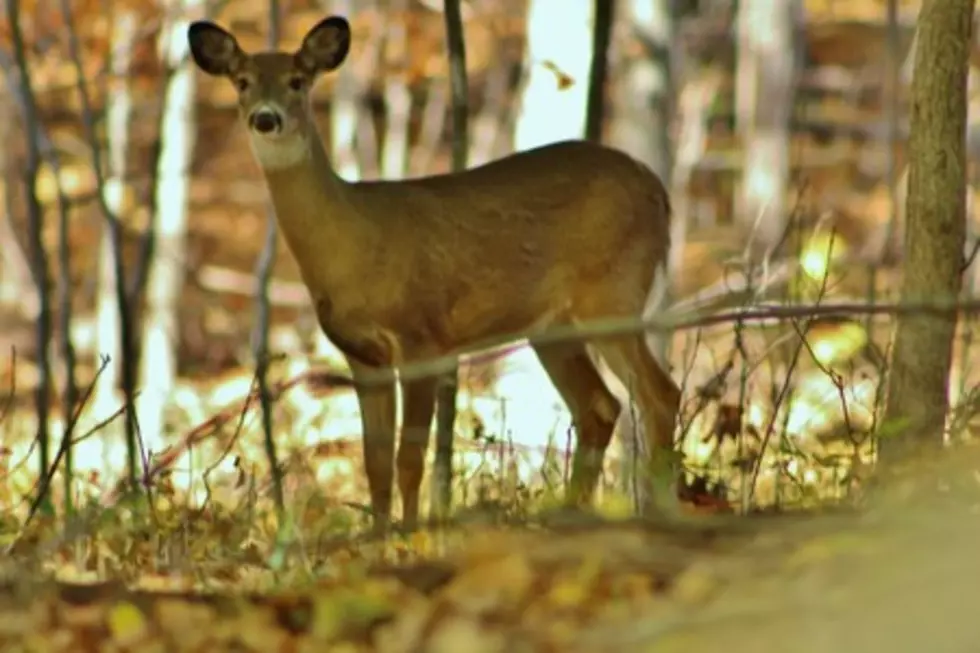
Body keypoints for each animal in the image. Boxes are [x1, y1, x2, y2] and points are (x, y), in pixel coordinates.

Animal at [188, 15, 684, 532]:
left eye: (298, 81)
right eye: (242, 82)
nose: (265, 118)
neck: (354, 242)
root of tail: (658, 190)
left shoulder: (422, 339)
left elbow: (409, 459)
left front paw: (410, 535)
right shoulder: (363, 356)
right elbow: (375, 463)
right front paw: (378, 537)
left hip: (612, 291)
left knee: (659, 394)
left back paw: (660, 512)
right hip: (551, 325)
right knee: (599, 406)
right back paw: (572, 514)